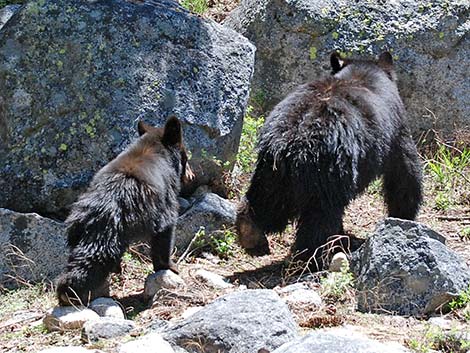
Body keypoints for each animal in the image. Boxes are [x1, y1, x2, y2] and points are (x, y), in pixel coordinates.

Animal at [56, 117, 193, 304]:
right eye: (185, 156)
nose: (191, 176)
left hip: (77, 227)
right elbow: (165, 231)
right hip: (113, 230)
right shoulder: (164, 200)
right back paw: (70, 291)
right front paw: (170, 266)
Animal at [237, 51, 424, 266]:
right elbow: (404, 170)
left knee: (267, 201)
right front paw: (404, 216)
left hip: (271, 170)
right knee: (321, 216)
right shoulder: (395, 126)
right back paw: (312, 256)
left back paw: (250, 232)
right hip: (329, 170)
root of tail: (292, 140)